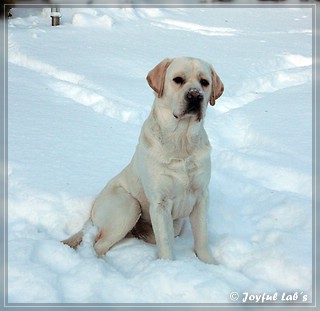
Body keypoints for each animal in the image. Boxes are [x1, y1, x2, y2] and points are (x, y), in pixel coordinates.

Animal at [62, 57, 222, 264]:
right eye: (178, 79)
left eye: (204, 82)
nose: (195, 95)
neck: (181, 142)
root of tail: (92, 212)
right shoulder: (160, 204)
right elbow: (166, 243)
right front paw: (168, 266)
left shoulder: (201, 196)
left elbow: (201, 239)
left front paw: (210, 264)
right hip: (129, 205)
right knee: (98, 245)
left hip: (170, 224)